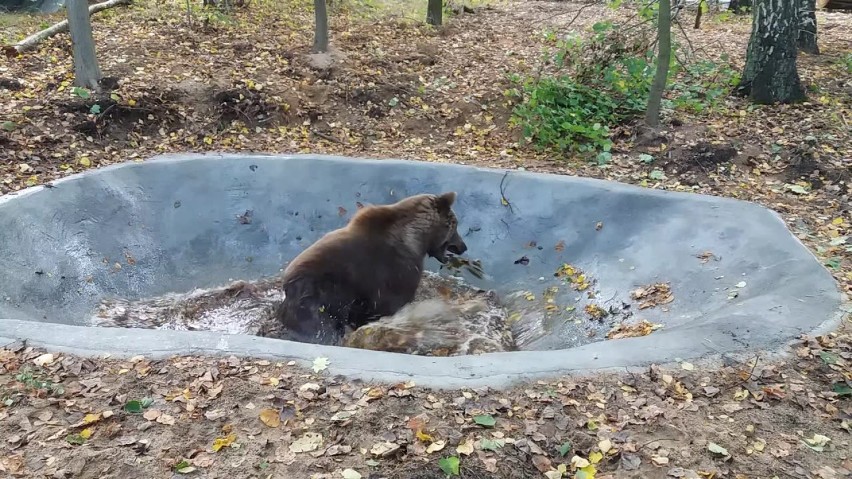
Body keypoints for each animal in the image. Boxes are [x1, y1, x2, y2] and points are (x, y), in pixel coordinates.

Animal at [270, 193, 466, 346]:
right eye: (455, 226)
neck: (416, 239)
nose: (463, 247)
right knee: (322, 329)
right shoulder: (394, 271)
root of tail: (288, 288)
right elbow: (391, 304)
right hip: (318, 301)